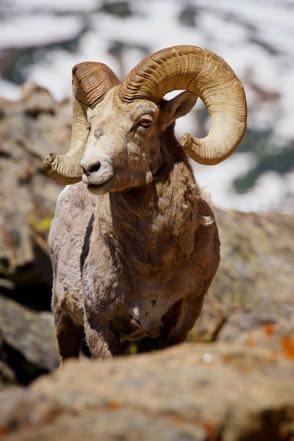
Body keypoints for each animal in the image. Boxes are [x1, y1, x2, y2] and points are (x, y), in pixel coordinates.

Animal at [43, 46, 246, 360]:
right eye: (92, 124)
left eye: (144, 122)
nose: (91, 168)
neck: (152, 263)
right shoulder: (98, 325)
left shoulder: (181, 319)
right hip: (63, 321)